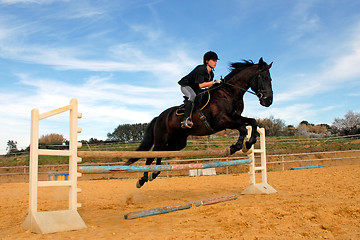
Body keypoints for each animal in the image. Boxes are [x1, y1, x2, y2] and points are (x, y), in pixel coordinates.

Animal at [126, 57, 272, 188]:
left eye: (270, 79)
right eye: (263, 78)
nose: (268, 101)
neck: (229, 93)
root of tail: (159, 116)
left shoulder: (236, 117)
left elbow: (252, 122)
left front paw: (248, 143)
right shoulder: (223, 121)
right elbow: (242, 128)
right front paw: (236, 147)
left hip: (178, 142)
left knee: (164, 152)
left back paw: (155, 173)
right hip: (161, 139)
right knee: (152, 155)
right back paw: (142, 179)